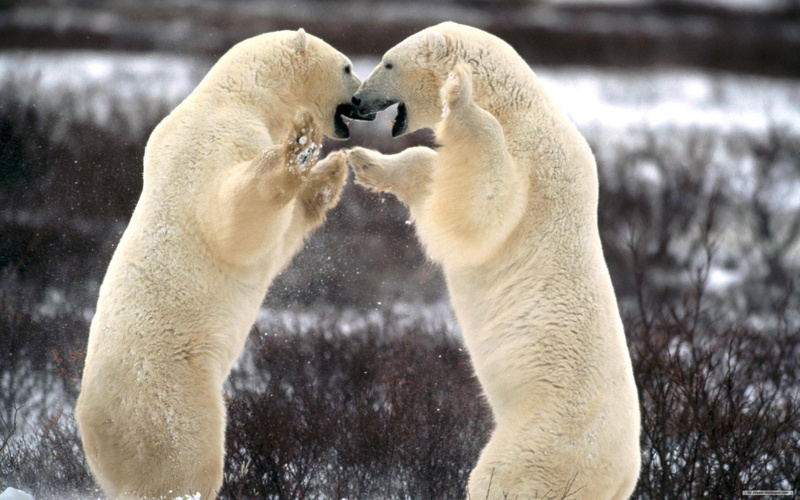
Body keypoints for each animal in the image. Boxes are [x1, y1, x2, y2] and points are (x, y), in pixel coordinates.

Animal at [75, 29, 369, 500]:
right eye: (347, 67)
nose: (362, 100)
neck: (240, 97)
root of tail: (91, 432)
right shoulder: (216, 143)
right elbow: (237, 220)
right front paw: (299, 146)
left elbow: (283, 234)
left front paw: (331, 171)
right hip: (167, 397)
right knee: (185, 462)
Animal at [346, 22, 641, 500]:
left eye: (388, 63)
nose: (356, 101)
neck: (518, 110)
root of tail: (620, 478)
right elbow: (436, 174)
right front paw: (367, 162)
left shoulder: (536, 167)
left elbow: (485, 203)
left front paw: (458, 92)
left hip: (544, 441)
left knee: (502, 478)